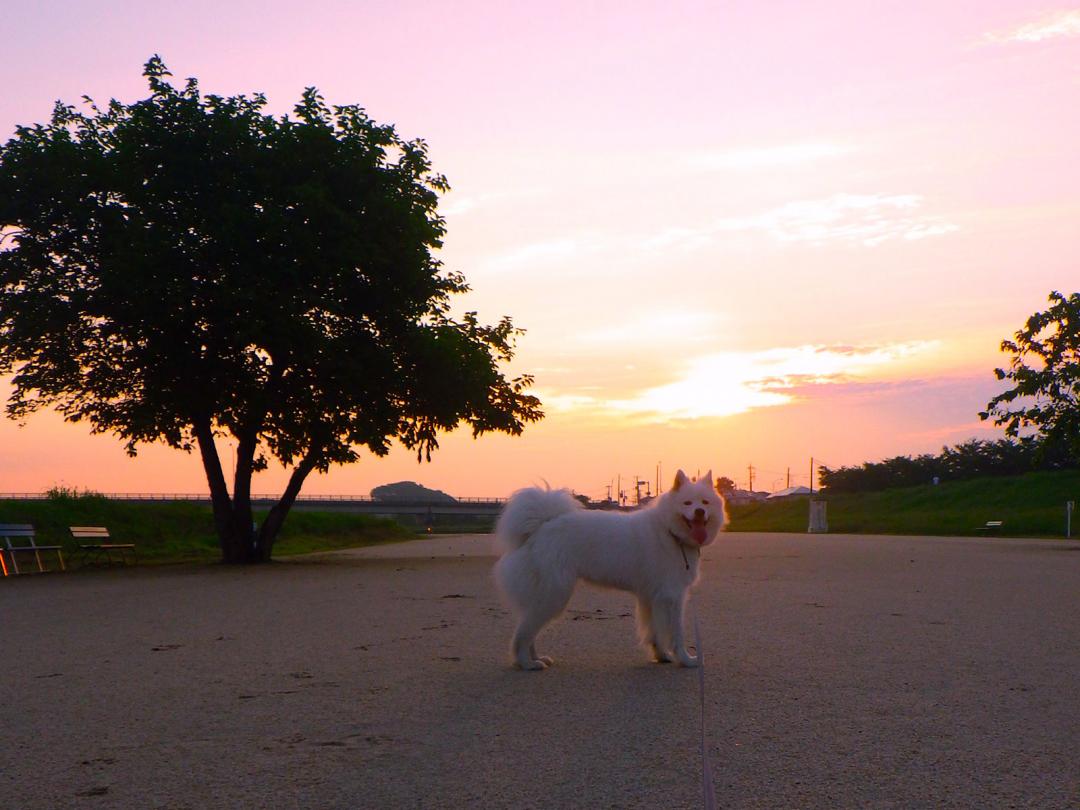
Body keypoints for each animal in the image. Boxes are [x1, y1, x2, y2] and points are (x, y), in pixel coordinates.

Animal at [494, 468, 725, 673]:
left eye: (705, 503)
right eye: (687, 503)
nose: (699, 512)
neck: (670, 533)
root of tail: (540, 528)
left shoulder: (652, 597)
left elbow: (654, 632)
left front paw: (662, 656)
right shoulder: (673, 596)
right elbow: (676, 633)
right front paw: (686, 660)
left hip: (547, 596)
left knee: (528, 628)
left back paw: (536, 658)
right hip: (554, 595)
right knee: (523, 632)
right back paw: (526, 663)